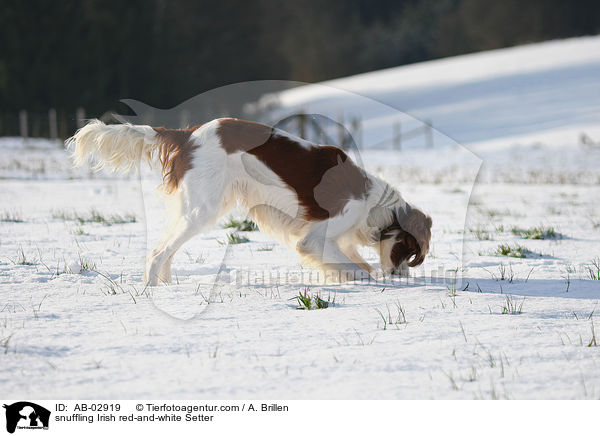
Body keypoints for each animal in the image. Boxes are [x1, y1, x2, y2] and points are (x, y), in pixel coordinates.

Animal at [68, 117, 432, 284]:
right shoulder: (315, 238)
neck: (374, 205)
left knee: (164, 251)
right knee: (158, 253)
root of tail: (188, 134)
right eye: (410, 250)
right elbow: (357, 269)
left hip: (194, 208)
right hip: (203, 210)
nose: (402, 276)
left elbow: (352, 262)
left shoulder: (336, 240)